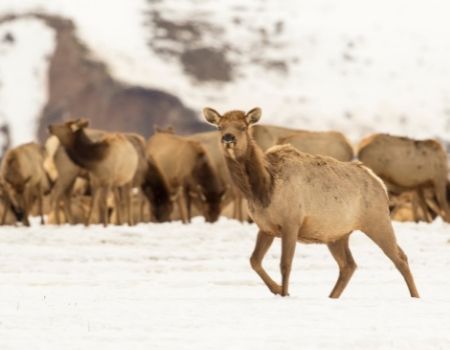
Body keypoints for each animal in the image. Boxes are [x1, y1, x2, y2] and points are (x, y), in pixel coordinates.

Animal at [202, 106, 420, 298]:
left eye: (243, 126)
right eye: (220, 126)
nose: (228, 138)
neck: (262, 190)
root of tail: (380, 184)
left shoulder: (291, 221)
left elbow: (285, 264)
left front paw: (285, 293)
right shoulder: (265, 227)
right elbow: (254, 261)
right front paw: (276, 289)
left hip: (377, 220)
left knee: (400, 257)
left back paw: (415, 295)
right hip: (337, 234)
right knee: (348, 265)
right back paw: (331, 296)